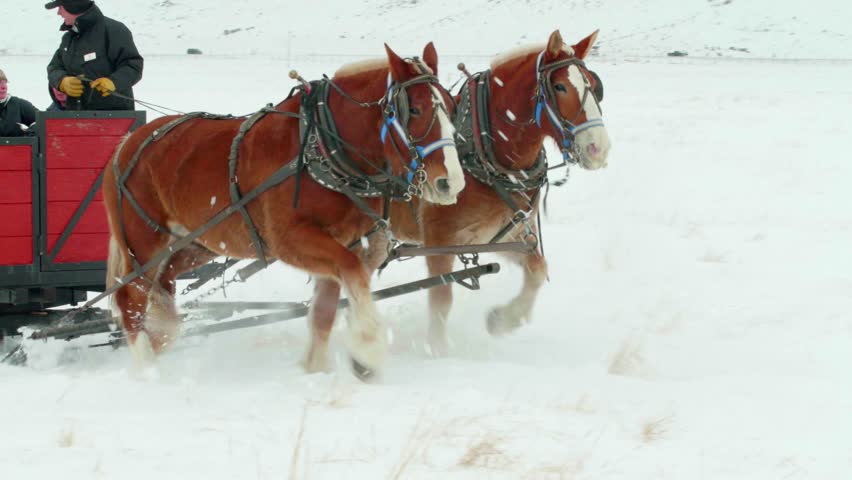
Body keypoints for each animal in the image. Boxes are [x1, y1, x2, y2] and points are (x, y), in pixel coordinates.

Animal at [103, 42, 465, 378]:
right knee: (131, 297)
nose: (451, 183)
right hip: (143, 243)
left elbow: (326, 307)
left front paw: (315, 367)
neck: (324, 149)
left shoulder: (345, 240)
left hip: (198, 242)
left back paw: (161, 335)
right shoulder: (291, 239)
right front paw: (368, 348)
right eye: (414, 110)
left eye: (451, 106)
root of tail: (126, 143)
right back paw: (147, 366)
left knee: (164, 281)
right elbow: (353, 271)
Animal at [305, 30, 611, 360]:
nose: (599, 148)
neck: (486, 153)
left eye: (594, 85)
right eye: (559, 86)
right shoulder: (440, 242)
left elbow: (537, 270)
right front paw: (438, 351)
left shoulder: (500, 236)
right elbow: (441, 296)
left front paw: (502, 320)